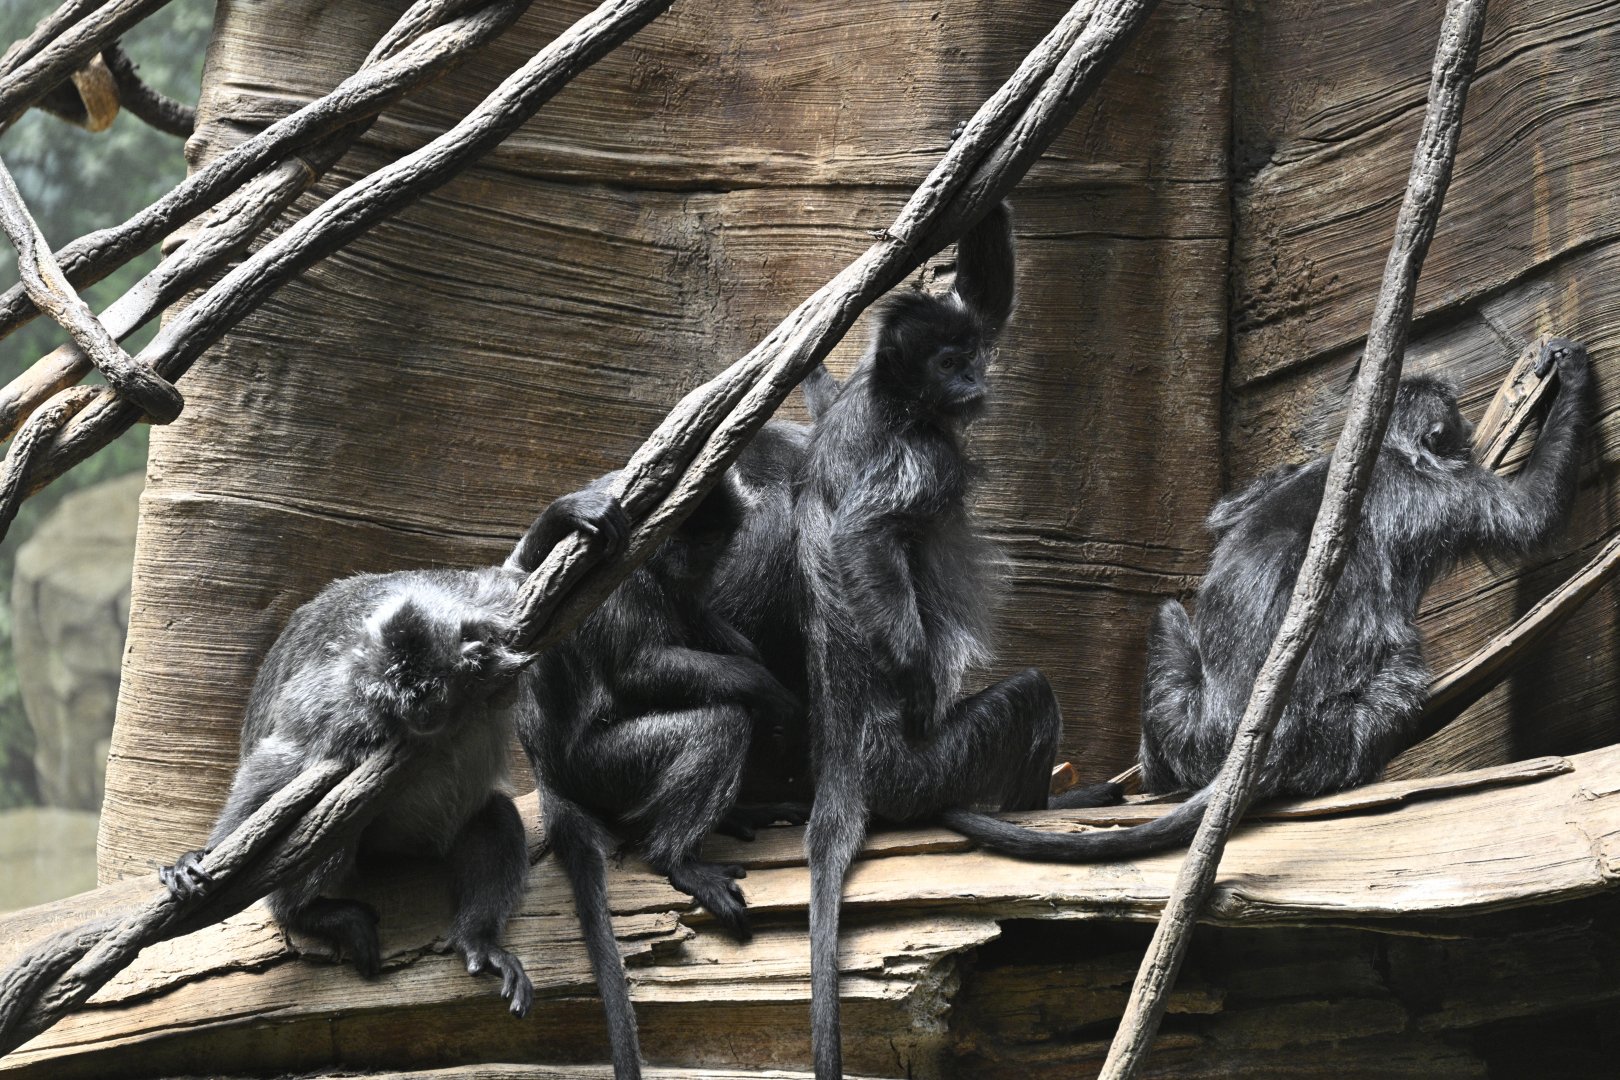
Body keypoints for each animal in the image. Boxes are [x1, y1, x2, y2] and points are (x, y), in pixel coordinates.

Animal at [159, 487, 627, 1017]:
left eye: (428, 693)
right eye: (401, 698)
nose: (421, 718)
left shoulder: (492, 608)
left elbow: (514, 577)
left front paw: (565, 516)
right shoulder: (341, 701)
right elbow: (284, 759)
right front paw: (197, 858)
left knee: (494, 817)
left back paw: (478, 942)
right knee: (333, 815)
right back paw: (305, 914)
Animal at [515, 471, 807, 1080]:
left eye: (710, 540)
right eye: (683, 535)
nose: (690, 559)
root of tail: (549, 769)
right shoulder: (626, 563)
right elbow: (637, 666)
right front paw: (769, 690)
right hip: (607, 766)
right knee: (719, 720)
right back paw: (676, 859)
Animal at [792, 201, 1117, 1079]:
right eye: (949, 362)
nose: (976, 381)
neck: (893, 397)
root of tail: (843, 770)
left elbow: (985, 296)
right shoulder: (921, 454)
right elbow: (863, 535)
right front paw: (913, 682)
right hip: (921, 771)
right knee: (1027, 698)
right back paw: (1052, 800)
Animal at [943, 338, 1596, 862]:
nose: (1461, 442)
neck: (1382, 450)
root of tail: (1260, 738)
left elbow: (1227, 514)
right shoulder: (1444, 490)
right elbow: (1531, 516)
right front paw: (1574, 375)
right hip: (1304, 732)